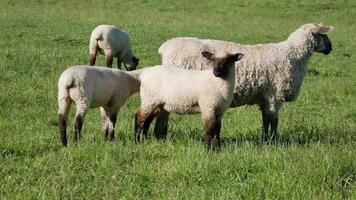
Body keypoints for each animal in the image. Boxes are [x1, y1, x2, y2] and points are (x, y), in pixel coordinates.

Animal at [156, 23, 334, 142]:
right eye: (323, 35)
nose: (330, 48)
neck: (293, 55)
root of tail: (166, 46)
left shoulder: (265, 98)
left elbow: (265, 121)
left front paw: (265, 140)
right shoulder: (274, 95)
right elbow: (274, 122)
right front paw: (273, 141)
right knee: (163, 114)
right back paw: (161, 136)